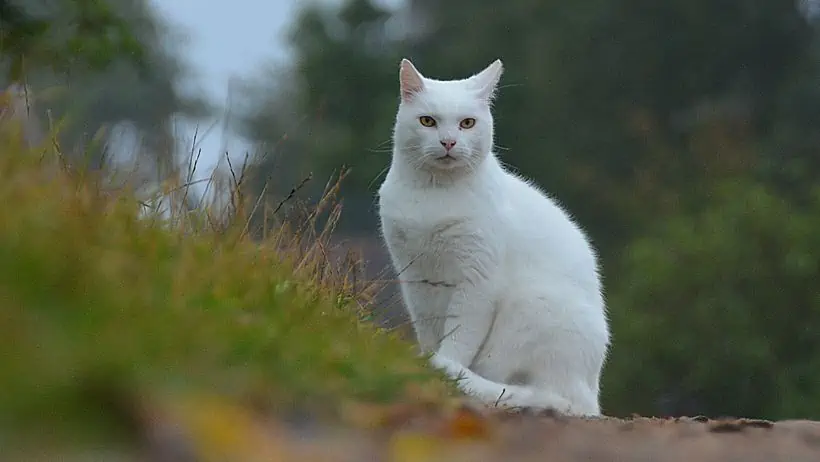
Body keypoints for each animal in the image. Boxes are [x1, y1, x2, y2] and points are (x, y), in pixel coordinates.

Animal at [378, 57, 608, 416]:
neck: (435, 193)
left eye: (467, 123)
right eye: (428, 121)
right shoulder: (416, 281)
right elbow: (428, 330)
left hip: (531, 308)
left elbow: (458, 339)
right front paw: (428, 364)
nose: (448, 142)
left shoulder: (477, 282)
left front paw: (442, 369)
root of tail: (588, 399)